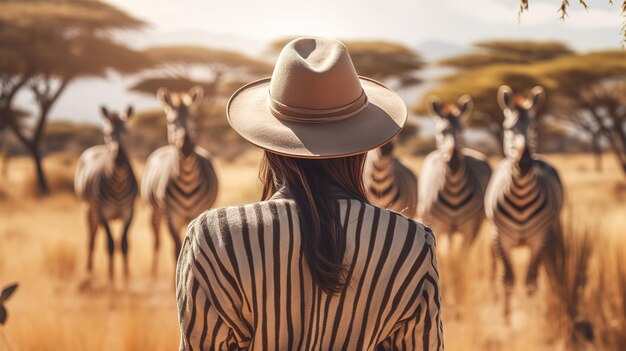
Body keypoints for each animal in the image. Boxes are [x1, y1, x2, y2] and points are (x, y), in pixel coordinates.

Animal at [74, 105, 138, 280]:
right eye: (107, 133)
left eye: (126, 131)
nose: (120, 159)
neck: (119, 184)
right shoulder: (102, 212)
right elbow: (110, 244)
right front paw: (111, 278)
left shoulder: (130, 212)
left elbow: (123, 244)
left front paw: (126, 277)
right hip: (89, 208)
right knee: (92, 239)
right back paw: (89, 270)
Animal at [140, 86, 218, 276]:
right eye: (171, 121)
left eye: (193, 118)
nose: (187, 147)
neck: (187, 179)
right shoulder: (170, 214)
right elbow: (176, 249)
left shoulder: (200, 211)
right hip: (153, 209)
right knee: (157, 240)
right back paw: (153, 273)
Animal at [420, 95, 492, 246]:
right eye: (441, 132)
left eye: (462, 131)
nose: (454, 163)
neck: (454, 191)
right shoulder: (436, 225)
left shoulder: (470, 229)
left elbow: (462, 252)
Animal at [486, 86, 564, 320]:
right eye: (508, 128)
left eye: (534, 127)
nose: (526, 163)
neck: (520, 195)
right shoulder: (500, 237)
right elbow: (508, 279)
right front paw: (506, 318)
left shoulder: (541, 238)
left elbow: (530, 280)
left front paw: (532, 316)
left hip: (553, 229)